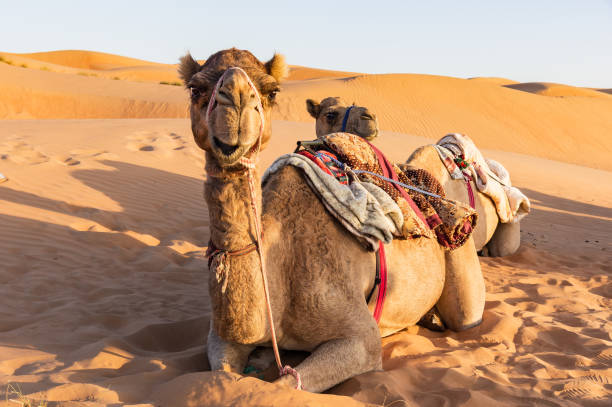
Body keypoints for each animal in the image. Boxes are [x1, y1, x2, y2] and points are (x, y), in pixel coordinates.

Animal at [179, 48, 486, 396]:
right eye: (195, 88)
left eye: (272, 91)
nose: (236, 103)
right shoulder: (220, 337)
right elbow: (224, 374)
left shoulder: (361, 338)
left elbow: (284, 384)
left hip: (461, 263)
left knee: (465, 315)